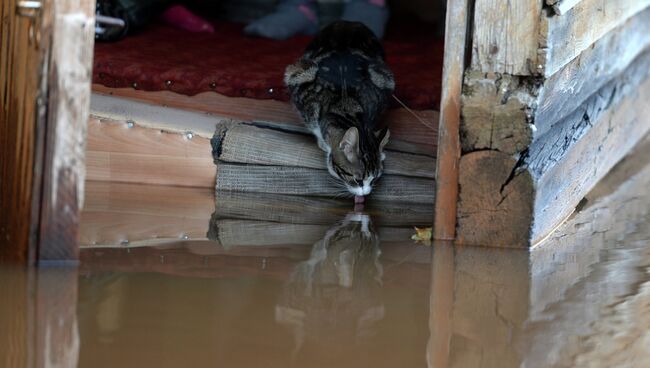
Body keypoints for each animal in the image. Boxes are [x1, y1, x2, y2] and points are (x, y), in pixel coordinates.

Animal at [284, 20, 394, 201]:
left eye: (374, 179)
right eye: (357, 180)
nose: (366, 193)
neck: (346, 107)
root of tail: (347, 23)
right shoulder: (302, 92)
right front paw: (323, 144)